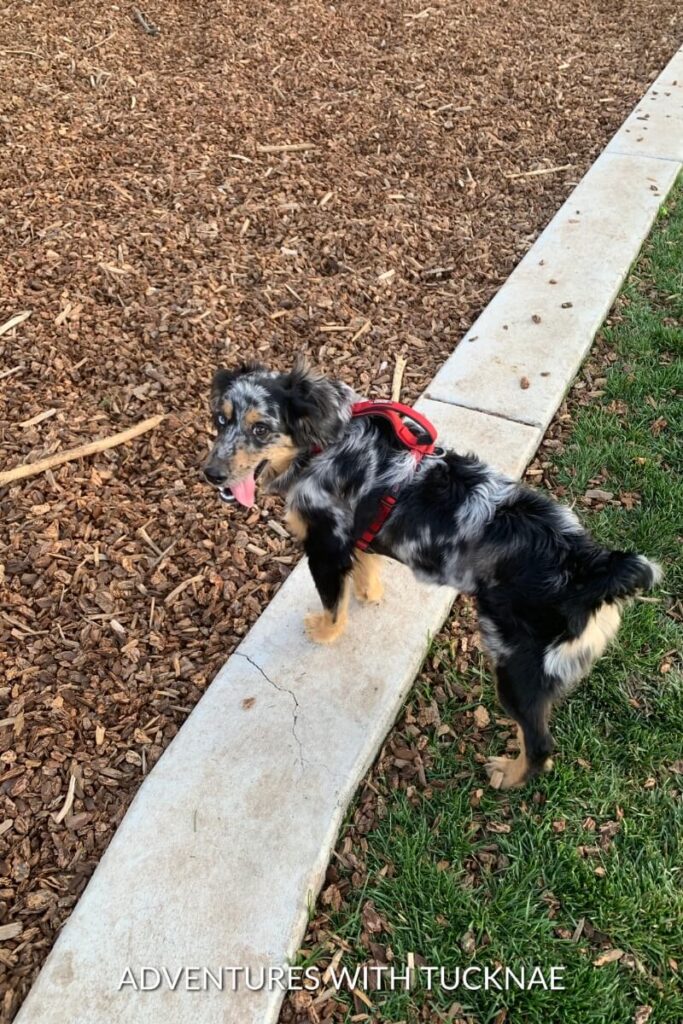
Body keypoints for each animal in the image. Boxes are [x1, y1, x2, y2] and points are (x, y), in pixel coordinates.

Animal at [202, 362, 663, 790]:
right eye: (221, 420)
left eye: (261, 428)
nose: (211, 474)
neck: (322, 445)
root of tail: (591, 568)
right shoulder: (356, 538)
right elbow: (365, 570)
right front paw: (369, 595)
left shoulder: (324, 548)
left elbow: (333, 604)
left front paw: (325, 632)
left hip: (516, 666)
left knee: (540, 745)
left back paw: (507, 774)